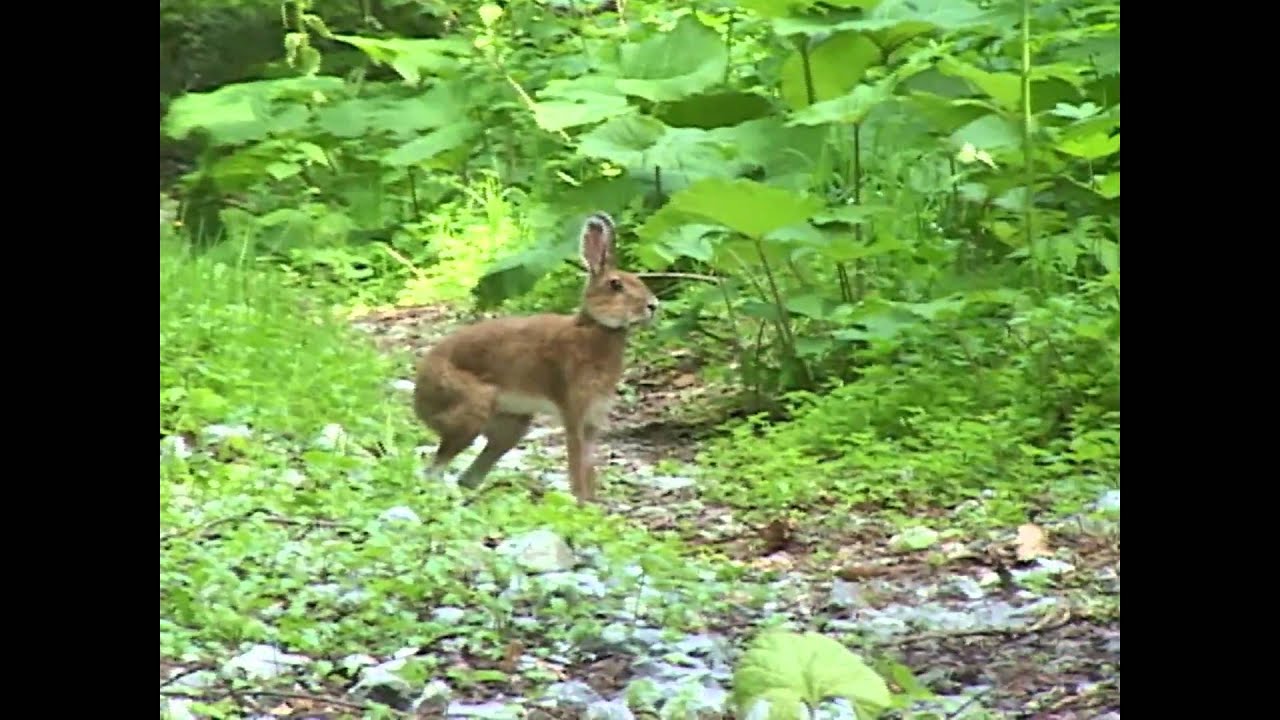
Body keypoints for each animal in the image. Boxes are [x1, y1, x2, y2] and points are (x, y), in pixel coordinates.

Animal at [413, 211, 660, 503]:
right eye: (615, 285)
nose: (653, 306)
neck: (594, 328)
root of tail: (419, 397)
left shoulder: (593, 418)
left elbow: (588, 464)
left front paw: (593, 503)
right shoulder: (574, 412)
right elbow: (577, 461)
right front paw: (581, 503)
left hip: (512, 426)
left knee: (467, 476)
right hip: (469, 412)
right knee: (435, 469)